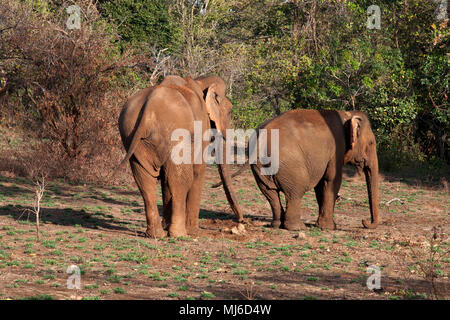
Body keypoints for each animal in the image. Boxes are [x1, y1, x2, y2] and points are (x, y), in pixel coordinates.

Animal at [114, 74, 244, 236]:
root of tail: (149, 106)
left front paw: (167, 226)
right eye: (230, 111)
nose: (240, 222)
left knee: (145, 180)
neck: (200, 81)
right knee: (179, 180)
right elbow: (197, 171)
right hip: (174, 135)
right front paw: (193, 231)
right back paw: (179, 234)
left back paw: (157, 234)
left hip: (132, 136)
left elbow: (165, 178)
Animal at [251, 109, 382, 230]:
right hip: (290, 165)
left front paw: (322, 225)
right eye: (371, 143)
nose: (364, 221)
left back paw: (277, 225)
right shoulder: (336, 148)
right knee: (295, 192)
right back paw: (298, 227)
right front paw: (330, 227)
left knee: (270, 193)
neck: (346, 113)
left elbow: (320, 185)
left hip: (260, 168)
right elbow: (331, 180)